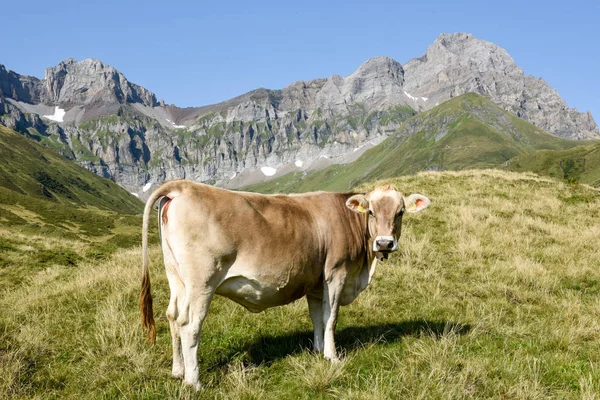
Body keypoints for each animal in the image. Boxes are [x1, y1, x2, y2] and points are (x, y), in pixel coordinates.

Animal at [141, 180, 432, 390]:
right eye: (371, 211)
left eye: (400, 212)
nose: (384, 243)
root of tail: (183, 186)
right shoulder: (336, 273)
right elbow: (331, 318)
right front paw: (332, 357)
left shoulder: (315, 282)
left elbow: (317, 317)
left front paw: (318, 351)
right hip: (201, 282)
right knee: (189, 325)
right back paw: (194, 382)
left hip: (176, 278)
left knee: (172, 316)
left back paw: (178, 371)